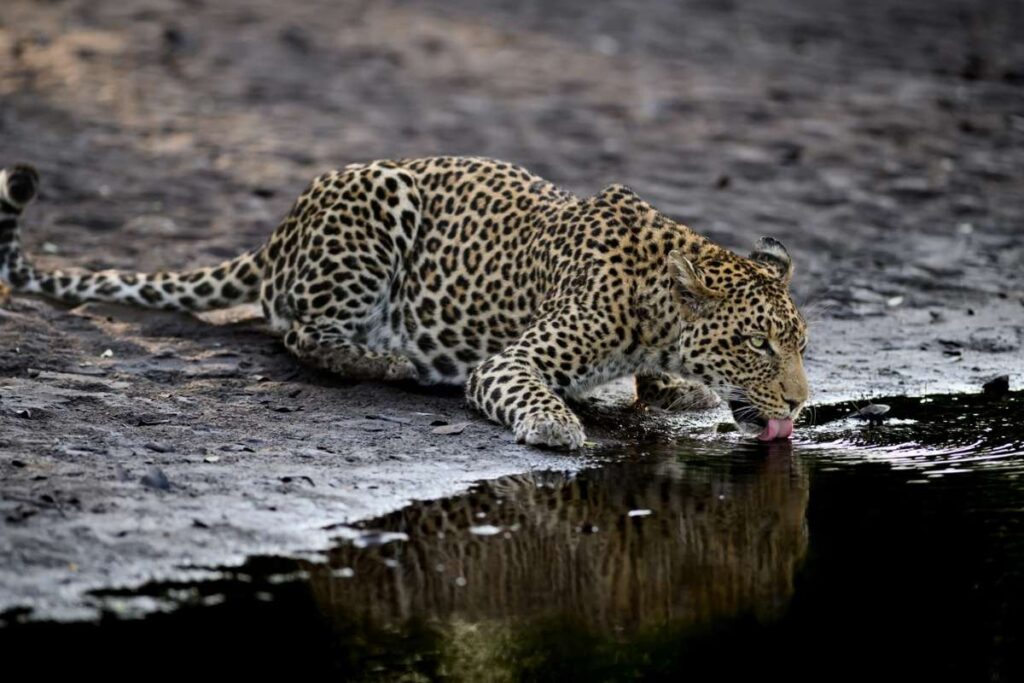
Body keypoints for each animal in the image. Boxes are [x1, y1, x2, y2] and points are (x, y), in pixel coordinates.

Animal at [0, 157, 809, 449]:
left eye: (801, 346)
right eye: (758, 345)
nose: (802, 403)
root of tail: (277, 232)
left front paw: (674, 388)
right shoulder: (508, 362)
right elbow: (531, 390)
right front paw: (559, 425)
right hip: (377, 206)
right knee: (297, 333)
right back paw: (390, 362)